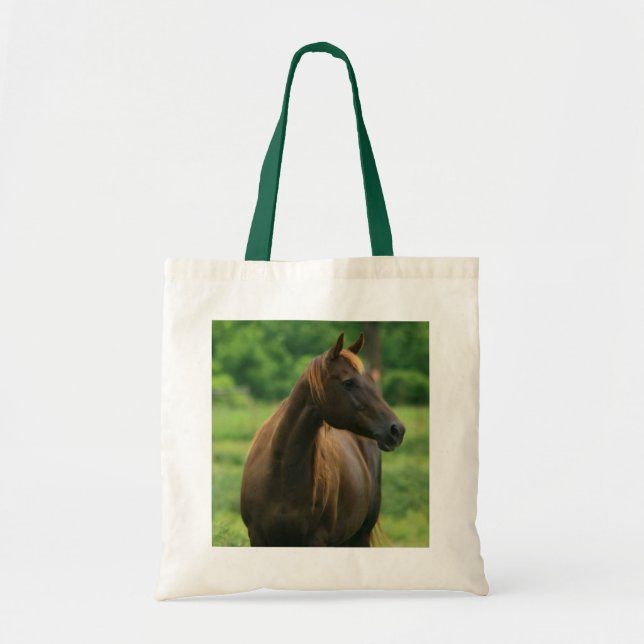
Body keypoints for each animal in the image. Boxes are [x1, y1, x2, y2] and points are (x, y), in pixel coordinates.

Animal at [240, 332, 405, 547]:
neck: (281, 474)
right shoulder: (258, 537)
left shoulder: (316, 539)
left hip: (360, 536)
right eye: (348, 382)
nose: (397, 430)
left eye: (371, 381)